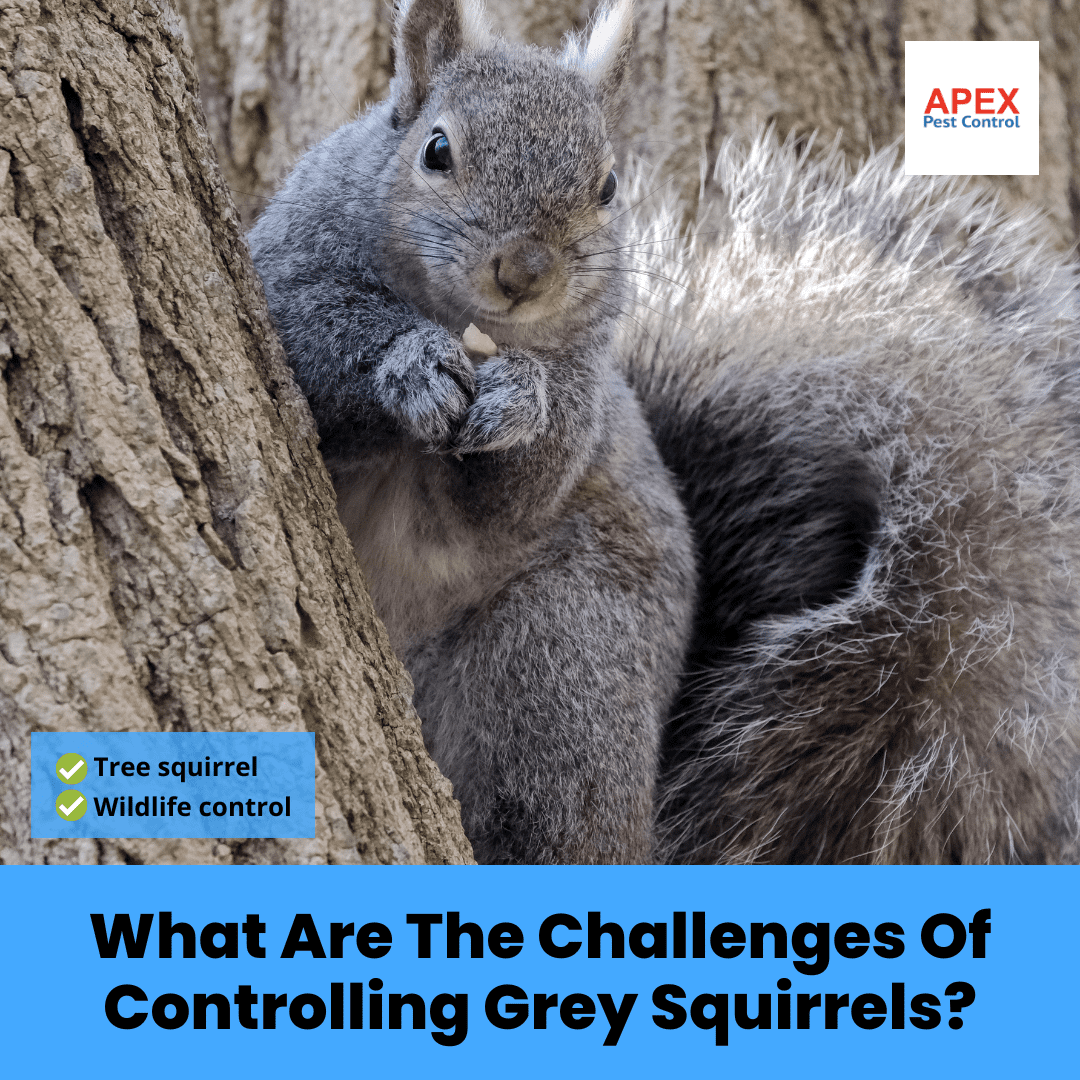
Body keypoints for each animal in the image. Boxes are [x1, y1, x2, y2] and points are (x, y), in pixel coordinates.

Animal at [248, 0, 1080, 863]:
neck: (463, 323)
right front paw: (408, 363)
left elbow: (514, 492)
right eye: (436, 150)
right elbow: (315, 342)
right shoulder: (285, 273)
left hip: (566, 658)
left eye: (608, 184)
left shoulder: (582, 393)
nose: (525, 271)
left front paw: (520, 402)